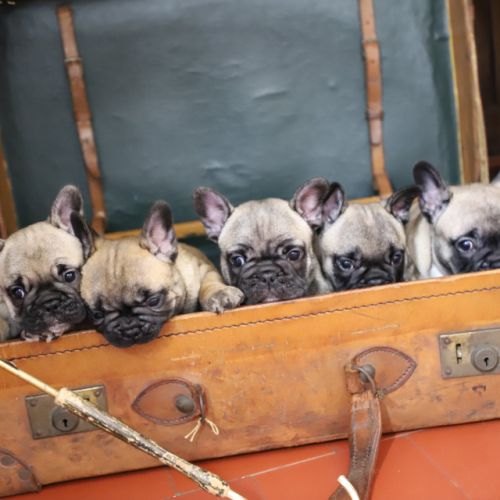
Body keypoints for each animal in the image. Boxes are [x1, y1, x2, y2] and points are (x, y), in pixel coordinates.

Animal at [80, 201, 244, 348]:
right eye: (97, 315)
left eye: (154, 301)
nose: (128, 327)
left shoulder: (204, 269)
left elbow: (209, 283)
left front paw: (219, 294)